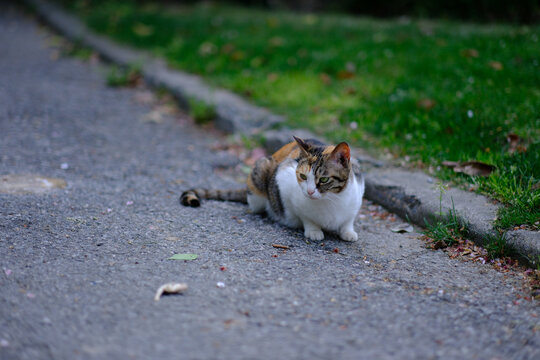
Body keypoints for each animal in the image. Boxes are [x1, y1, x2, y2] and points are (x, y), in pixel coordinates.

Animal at [180, 136, 362, 240]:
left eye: (323, 179)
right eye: (303, 176)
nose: (309, 191)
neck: (332, 200)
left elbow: (349, 219)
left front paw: (348, 232)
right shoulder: (284, 179)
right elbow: (305, 216)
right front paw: (313, 230)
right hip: (261, 170)